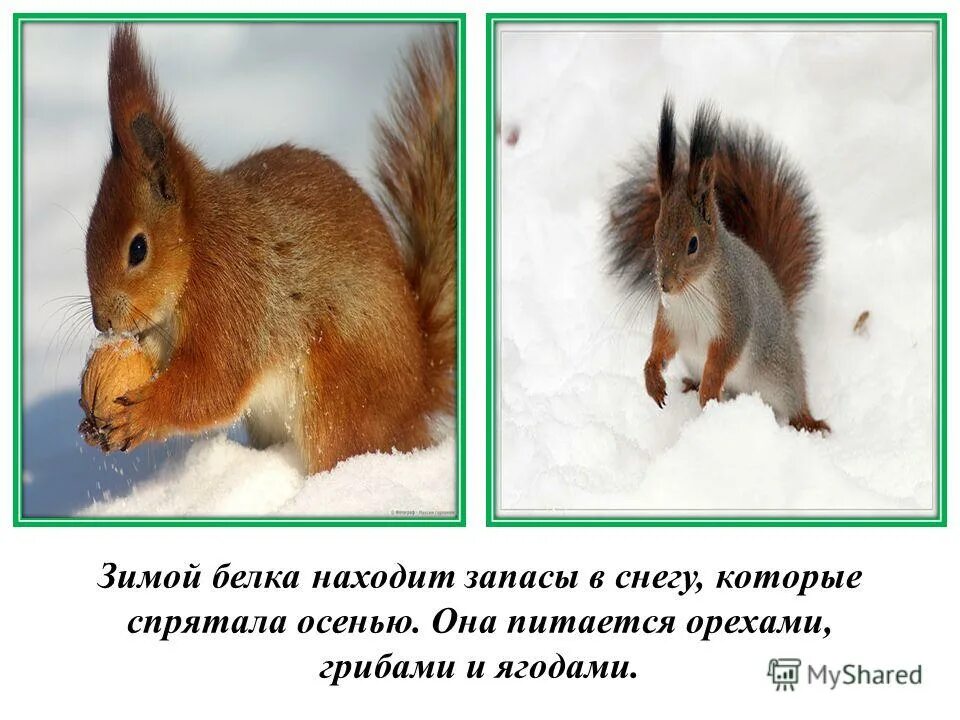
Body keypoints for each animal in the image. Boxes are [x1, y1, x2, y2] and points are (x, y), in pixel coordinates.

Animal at [81, 25, 457, 473]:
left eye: (138, 249)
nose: (102, 321)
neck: (198, 247)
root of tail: (418, 396)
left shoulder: (232, 297)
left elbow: (213, 384)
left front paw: (142, 415)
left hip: (338, 397)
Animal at [606, 97, 829, 434]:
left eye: (693, 244)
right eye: (655, 233)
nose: (665, 285)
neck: (694, 288)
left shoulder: (736, 310)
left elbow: (725, 353)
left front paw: (710, 387)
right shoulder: (672, 317)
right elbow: (661, 343)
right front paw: (652, 377)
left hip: (782, 375)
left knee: (794, 400)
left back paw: (808, 422)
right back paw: (691, 384)